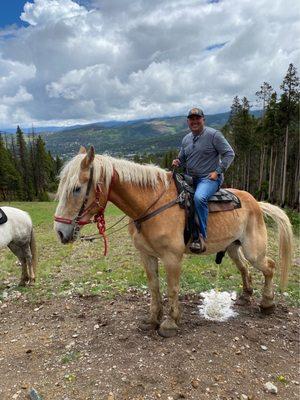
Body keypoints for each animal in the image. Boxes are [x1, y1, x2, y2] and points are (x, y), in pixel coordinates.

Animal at [54, 147, 292, 338]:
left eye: (76, 188)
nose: (59, 231)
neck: (149, 206)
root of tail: (255, 202)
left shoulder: (172, 258)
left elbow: (172, 288)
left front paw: (170, 322)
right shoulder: (147, 255)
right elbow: (154, 287)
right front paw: (153, 318)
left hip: (254, 250)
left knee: (269, 267)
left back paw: (267, 303)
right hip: (233, 247)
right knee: (244, 268)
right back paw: (246, 296)